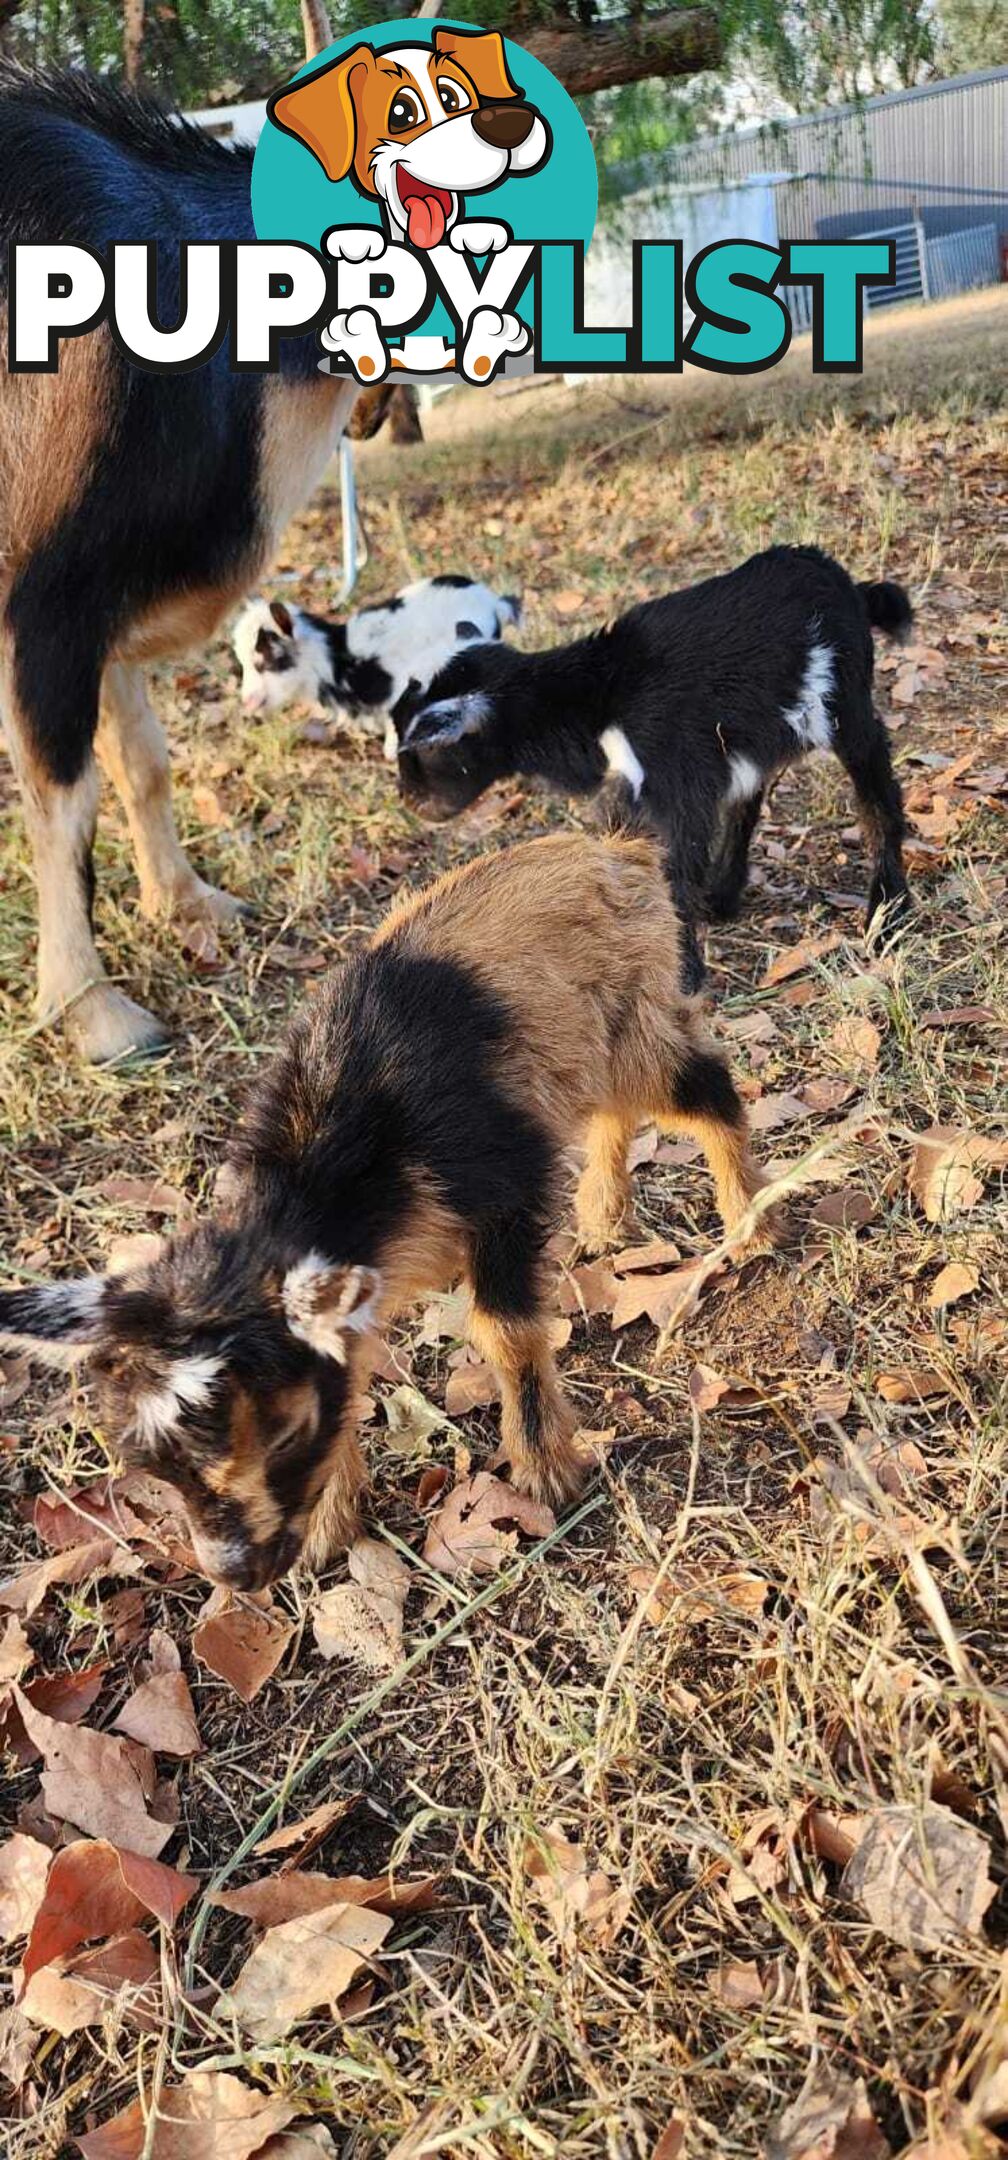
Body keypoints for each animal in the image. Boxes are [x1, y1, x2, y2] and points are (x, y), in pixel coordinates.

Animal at [1, 833, 781, 1598]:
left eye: (285, 1435)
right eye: (160, 1472)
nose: (238, 1575)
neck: (333, 1158)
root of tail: (616, 849)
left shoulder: (502, 1190)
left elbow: (506, 1330)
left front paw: (547, 1473)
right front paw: (329, 1533)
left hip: (637, 1016)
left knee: (705, 1092)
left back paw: (751, 1225)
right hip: (592, 1047)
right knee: (612, 1109)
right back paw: (603, 1217)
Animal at [394, 552, 915, 997]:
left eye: (419, 756)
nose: (409, 800)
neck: (596, 698)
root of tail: (845, 581)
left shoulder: (675, 770)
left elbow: (679, 865)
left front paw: (684, 976)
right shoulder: (632, 780)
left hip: (841, 696)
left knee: (874, 785)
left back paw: (889, 911)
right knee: (748, 794)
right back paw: (724, 896)